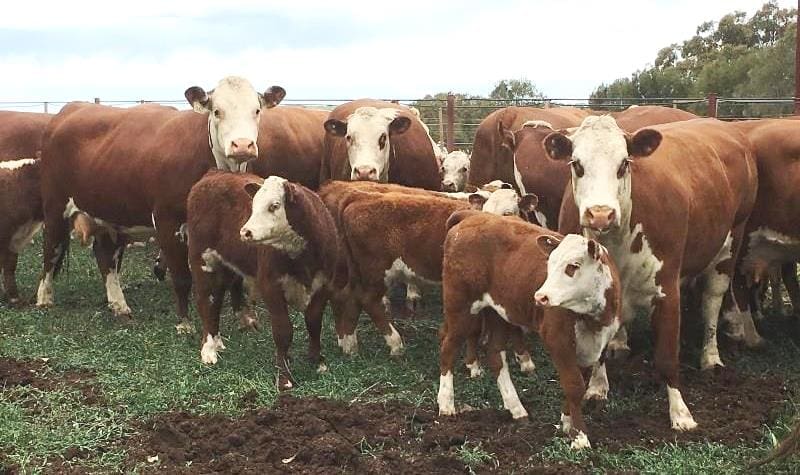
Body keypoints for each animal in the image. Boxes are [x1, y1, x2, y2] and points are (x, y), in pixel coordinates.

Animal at [38, 78, 288, 330]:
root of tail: (69, 110)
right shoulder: (167, 220)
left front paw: (245, 318)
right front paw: (184, 323)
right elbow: (181, 276)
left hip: (111, 213)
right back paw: (44, 298)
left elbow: (234, 276)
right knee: (51, 249)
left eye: (256, 111)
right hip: (55, 207)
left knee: (105, 255)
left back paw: (119, 305)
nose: (243, 145)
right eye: (217, 111)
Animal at [188, 173, 338, 388]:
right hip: (202, 259)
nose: (245, 232)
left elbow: (314, 322)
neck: (301, 257)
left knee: (216, 299)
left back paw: (217, 341)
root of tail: (212, 175)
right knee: (205, 301)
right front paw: (284, 377)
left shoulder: (323, 286)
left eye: (274, 205)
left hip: (226, 264)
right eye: (254, 204)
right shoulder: (270, 287)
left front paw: (318, 361)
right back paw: (209, 348)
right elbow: (283, 331)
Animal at [438, 214, 624, 452]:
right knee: (448, 350)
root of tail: (471, 216)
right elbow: (574, 385)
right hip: (460, 308)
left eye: (573, 266)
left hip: (499, 312)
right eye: (550, 264)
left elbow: (578, 383)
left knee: (495, 355)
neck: (593, 318)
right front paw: (579, 436)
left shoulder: (592, 344)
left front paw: (566, 422)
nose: (540, 297)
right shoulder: (557, 339)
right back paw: (446, 404)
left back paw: (516, 409)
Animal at [552, 116, 760, 432]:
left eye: (624, 164)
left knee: (712, 302)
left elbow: (666, 357)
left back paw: (711, 356)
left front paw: (680, 412)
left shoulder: (667, 289)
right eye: (577, 164)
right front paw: (597, 387)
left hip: (731, 243)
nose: (600, 214)